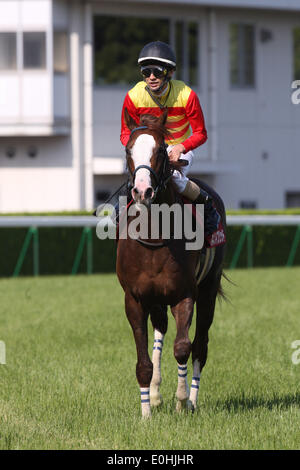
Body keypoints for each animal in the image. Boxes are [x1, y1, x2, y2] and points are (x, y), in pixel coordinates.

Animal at [116, 107, 226, 418]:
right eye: (128, 149)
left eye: (162, 150)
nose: (142, 191)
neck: (154, 236)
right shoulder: (135, 298)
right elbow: (144, 361)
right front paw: (146, 413)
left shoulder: (184, 294)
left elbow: (183, 347)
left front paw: (181, 400)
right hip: (156, 299)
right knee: (160, 331)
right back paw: (154, 395)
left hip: (208, 289)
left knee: (200, 345)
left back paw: (192, 399)